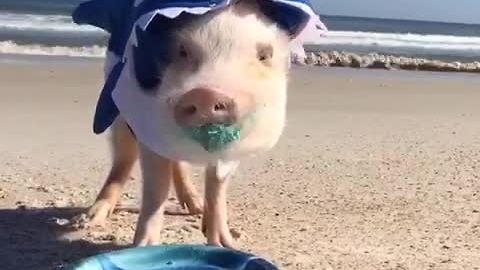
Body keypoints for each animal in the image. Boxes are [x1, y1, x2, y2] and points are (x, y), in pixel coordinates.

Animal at [71, 0, 326, 247]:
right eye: (183, 51)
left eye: (264, 55)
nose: (206, 94)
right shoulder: (147, 126)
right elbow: (156, 188)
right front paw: (143, 247)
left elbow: (216, 185)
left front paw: (224, 244)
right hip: (119, 111)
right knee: (123, 159)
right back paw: (88, 220)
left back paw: (195, 207)